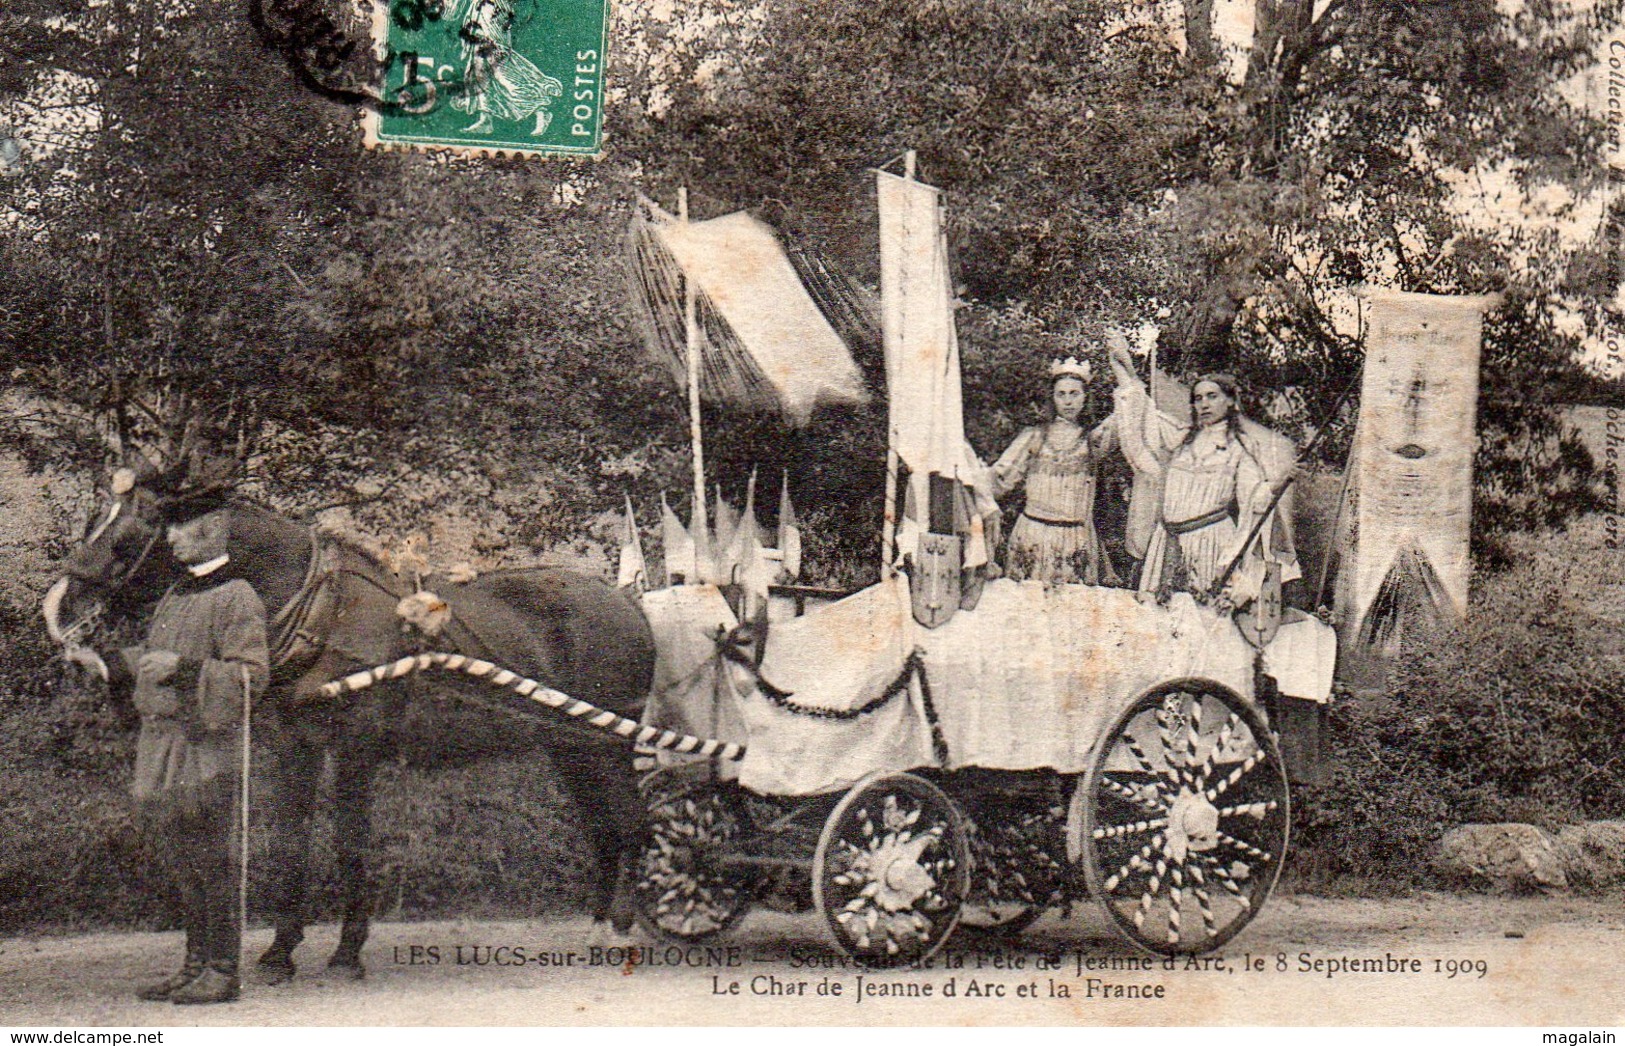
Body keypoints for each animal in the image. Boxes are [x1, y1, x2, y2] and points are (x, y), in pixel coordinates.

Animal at [44, 477, 653, 987]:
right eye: (100, 516)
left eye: (130, 533)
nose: (61, 607)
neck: (323, 612)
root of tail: (627, 601)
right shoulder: (296, 747)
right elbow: (292, 841)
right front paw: (279, 952)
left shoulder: (356, 749)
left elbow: (349, 843)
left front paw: (346, 951)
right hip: (571, 748)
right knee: (605, 828)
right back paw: (600, 925)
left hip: (604, 745)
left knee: (630, 824)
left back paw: (625, 926)